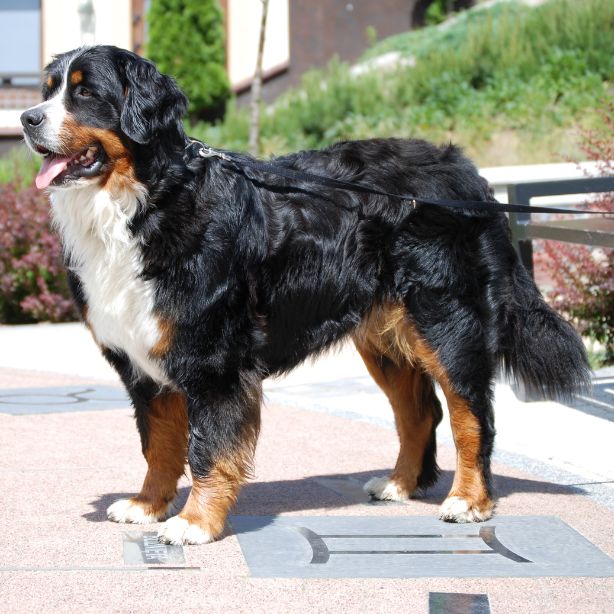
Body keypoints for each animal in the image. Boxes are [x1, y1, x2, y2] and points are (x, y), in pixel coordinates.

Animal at [20, 48, 592, 548]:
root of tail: (466, 171)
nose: (26, 118)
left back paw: (469, 499)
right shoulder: (142, 361)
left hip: (447, 318)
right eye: (48, 90)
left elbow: (207, 450)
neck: (144, 203)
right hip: (383, 337)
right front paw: (147, 505)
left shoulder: (214, 360)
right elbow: (158, 445)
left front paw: (195, 523)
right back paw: (399, 484)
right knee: (419, 412)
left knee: (471, 413)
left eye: (85, 92)